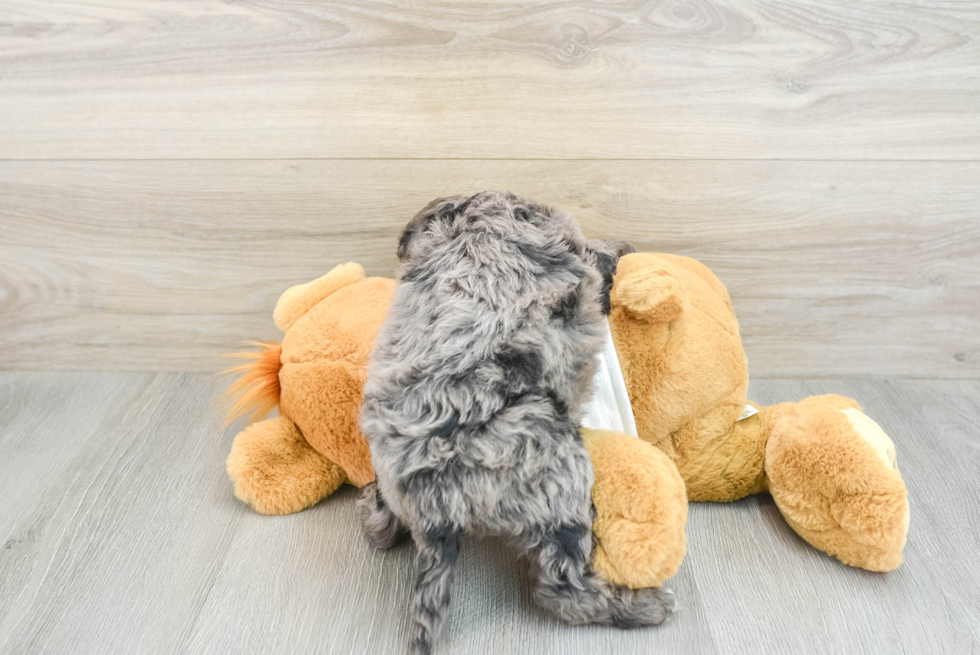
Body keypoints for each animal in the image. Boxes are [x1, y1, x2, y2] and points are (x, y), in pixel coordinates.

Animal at [360, 192, 672, 652]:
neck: (471, 219)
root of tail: (437, 505)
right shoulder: (574, 245)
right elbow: (598, 254)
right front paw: (621, 249)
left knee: (382, 525)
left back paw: (372, 510)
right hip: (560, 484)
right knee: (561, 588)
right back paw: (640, 605)